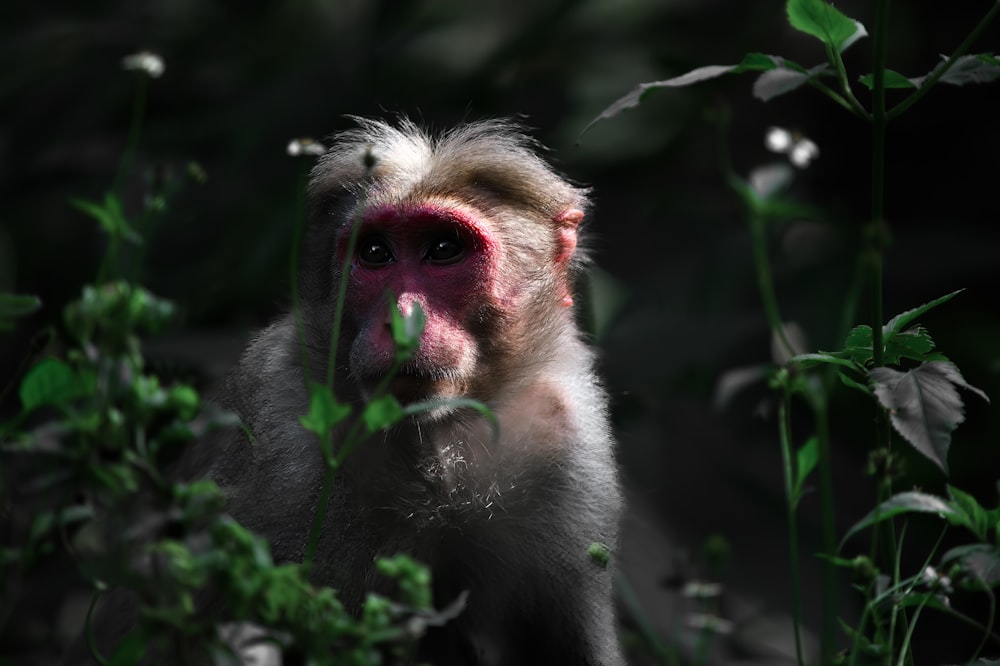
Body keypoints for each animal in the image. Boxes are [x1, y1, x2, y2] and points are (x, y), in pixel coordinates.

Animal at [70, 119, 620, 664]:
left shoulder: (564, 434)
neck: (436, 435)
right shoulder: (282, 434)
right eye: (375, 254)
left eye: (444, 249)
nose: (399, 320)